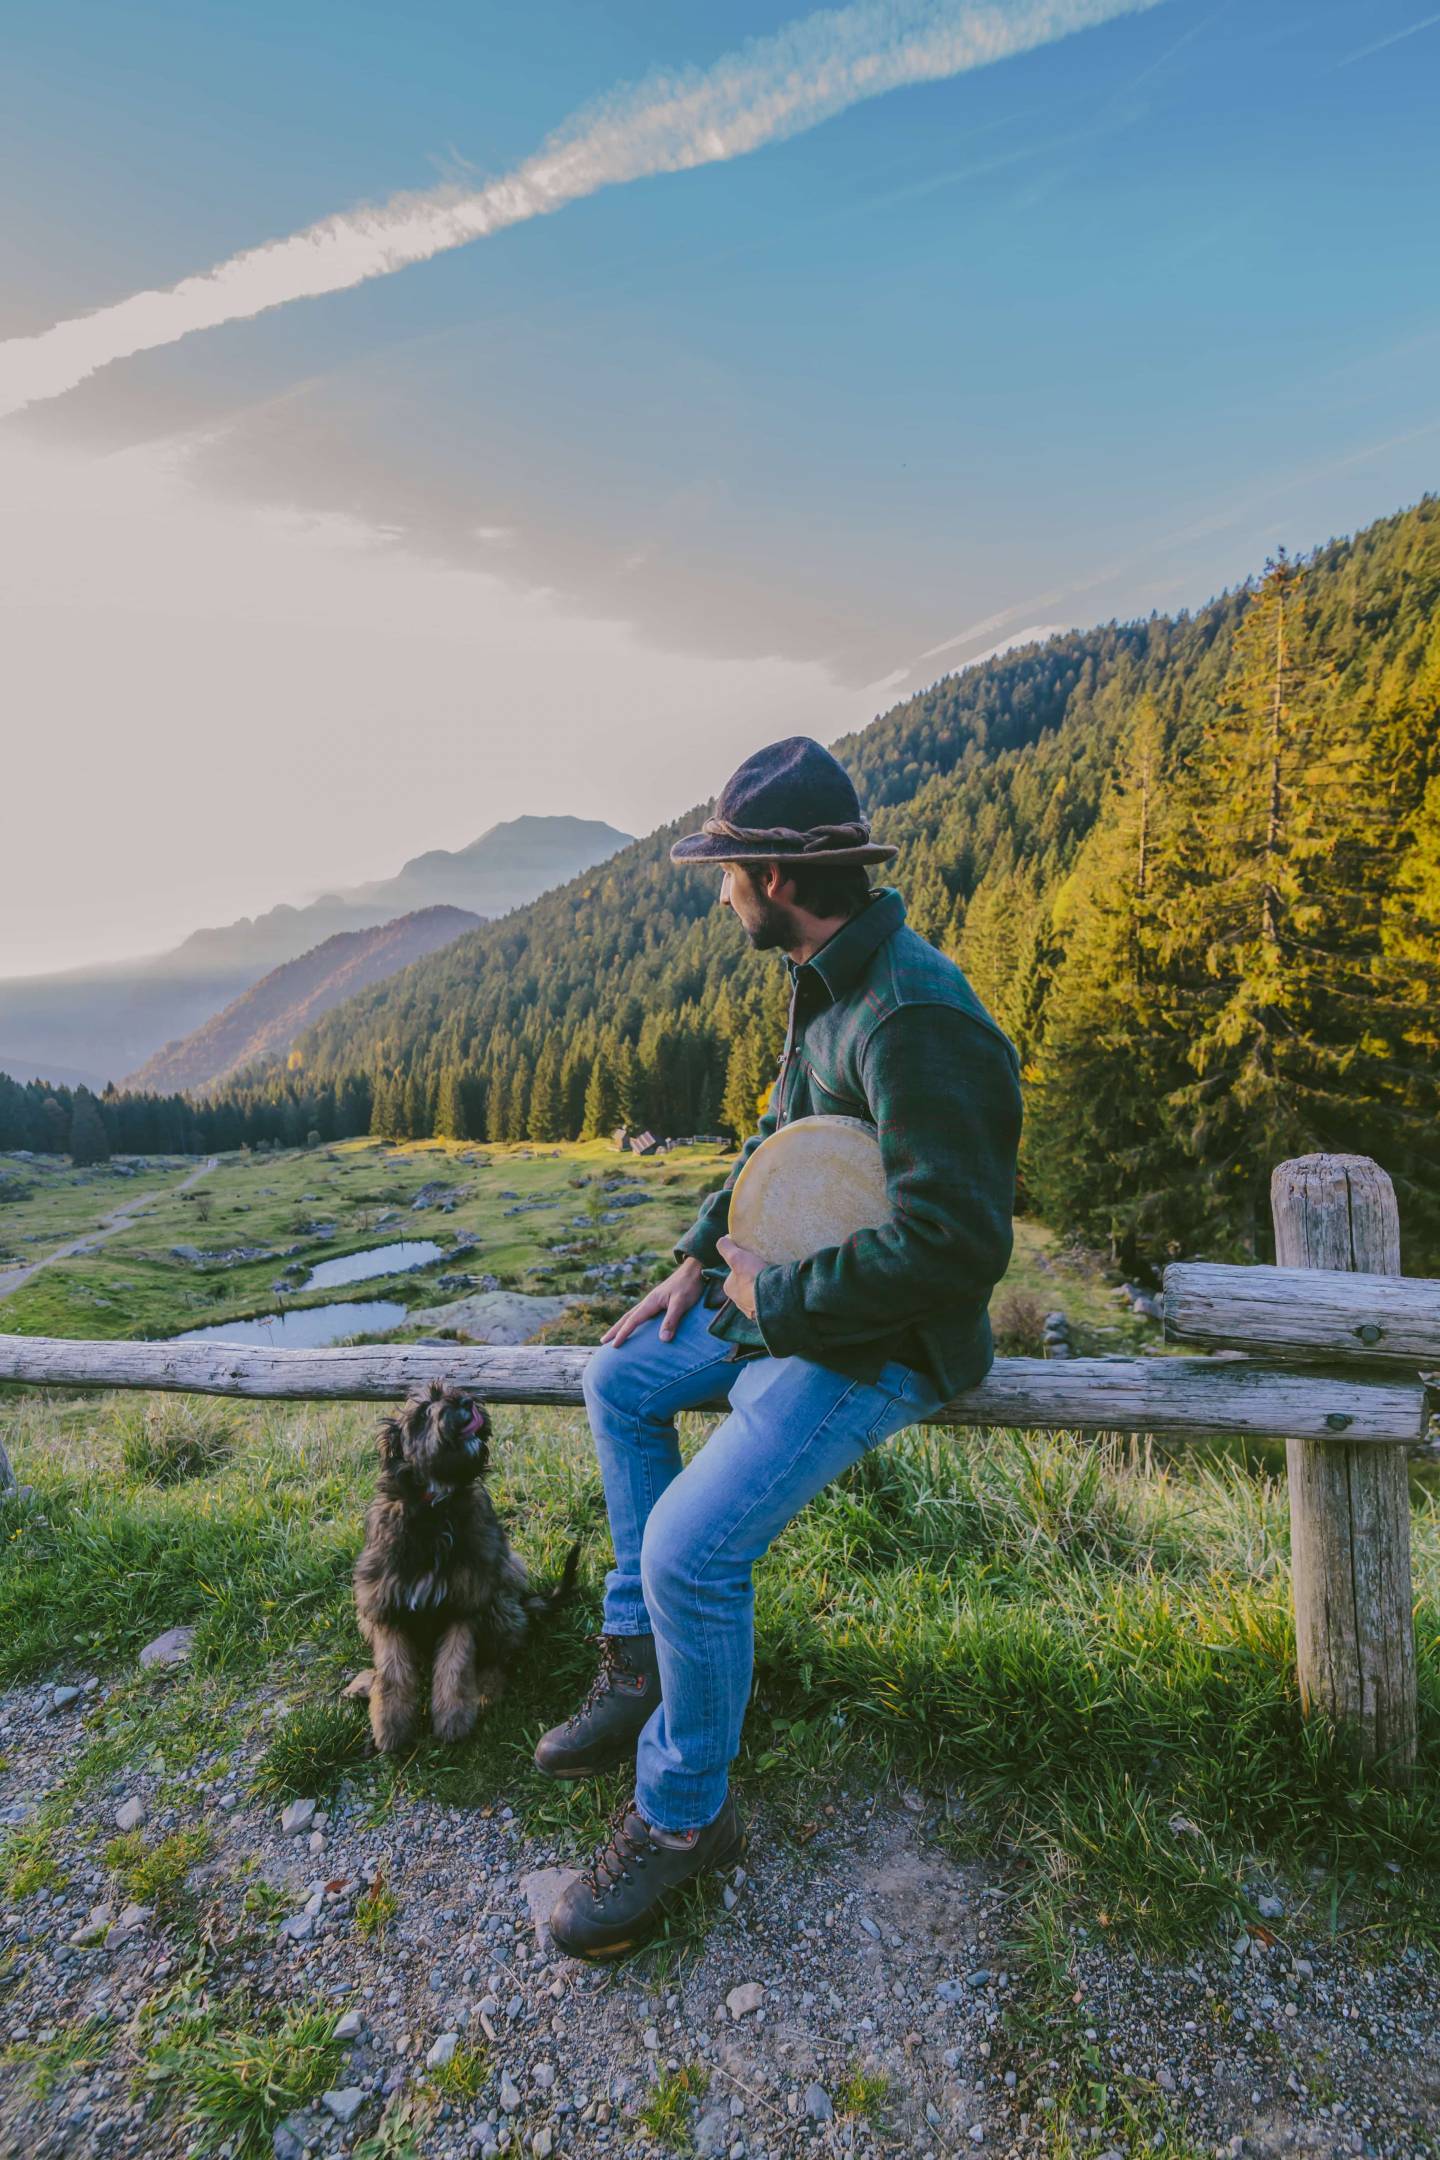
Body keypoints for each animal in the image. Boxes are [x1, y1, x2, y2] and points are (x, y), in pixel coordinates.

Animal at [347, 1382, 574, 1753]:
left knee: (500, 1658)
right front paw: (391, 1730)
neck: (434, 1506)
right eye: (424, 1412)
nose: (467, 1401)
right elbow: (393, 1671)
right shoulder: (384, 1605)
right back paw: (366, 1683)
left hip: (501, 1598)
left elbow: (455, 1666)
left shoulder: (465, 1602)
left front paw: (453, 1722)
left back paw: (486, 1691)